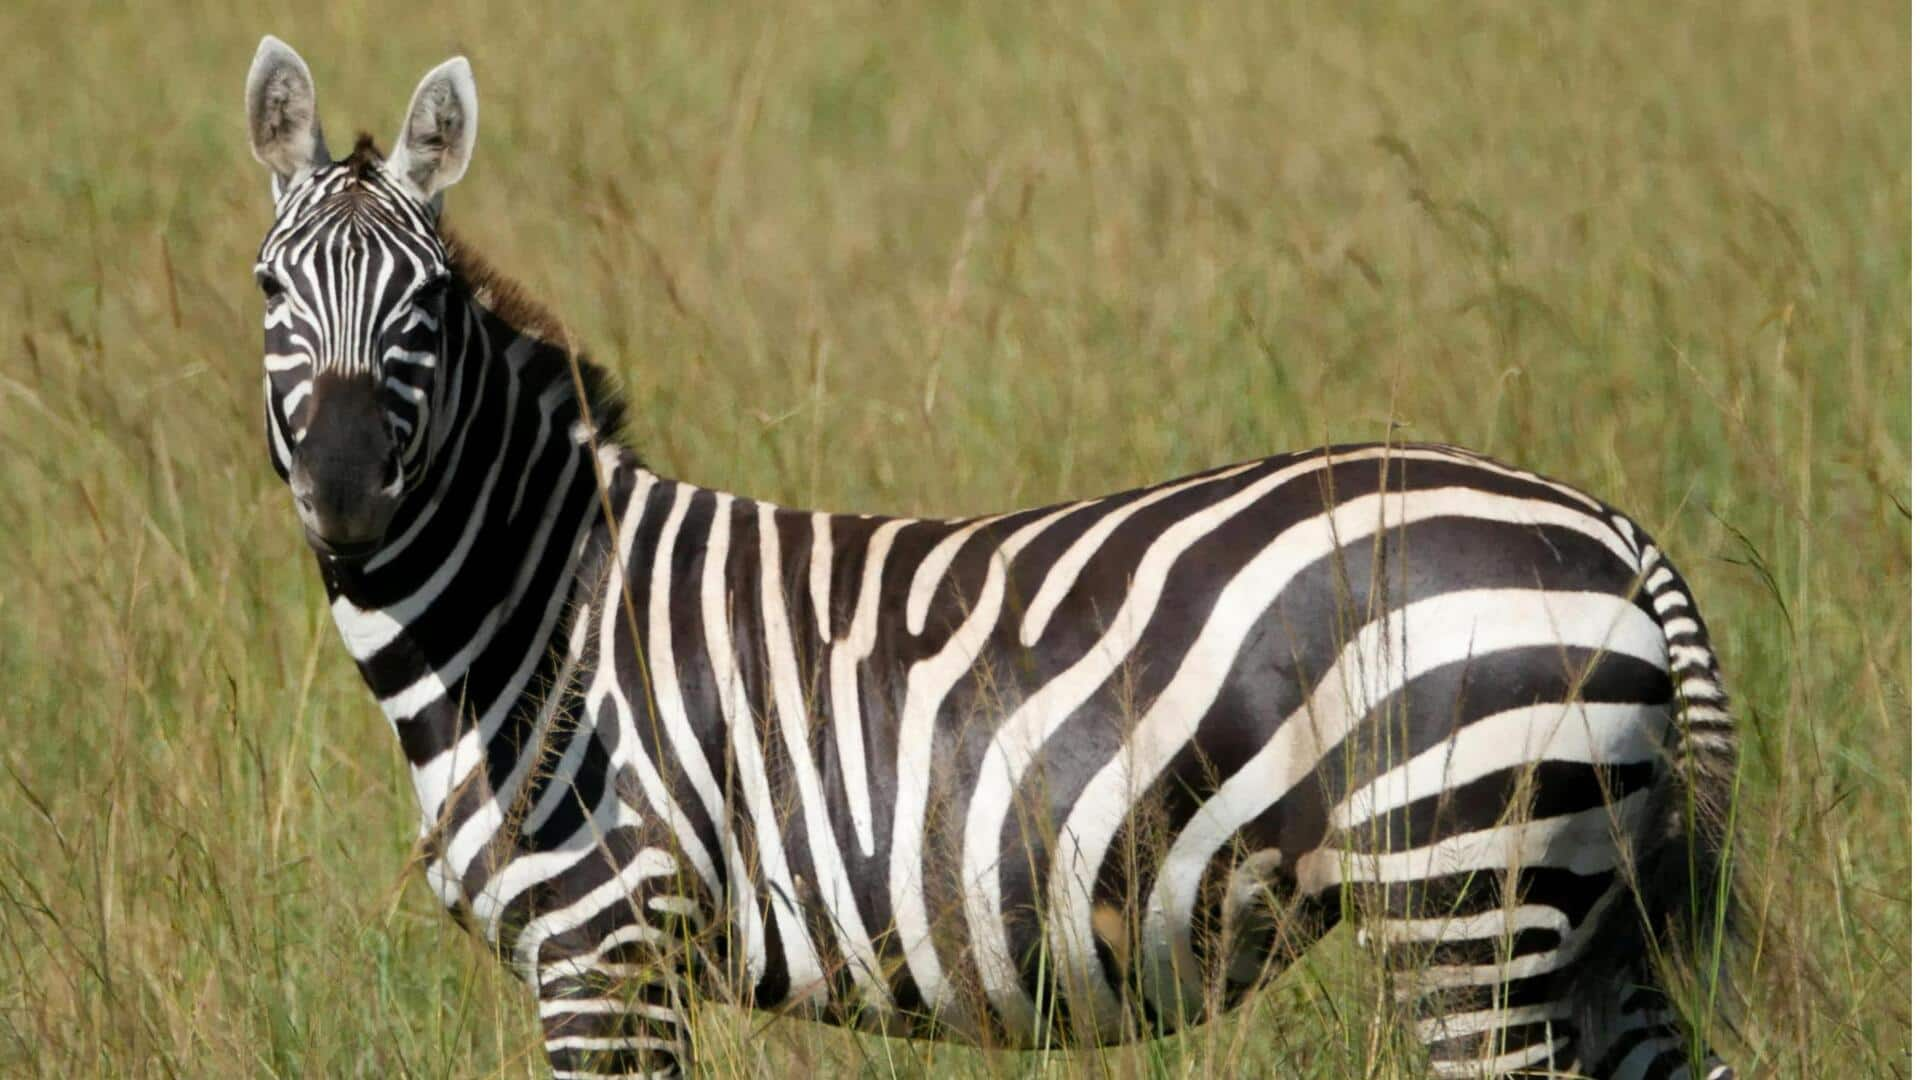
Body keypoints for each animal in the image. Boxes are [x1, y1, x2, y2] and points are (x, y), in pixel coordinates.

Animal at [240, 35, 1743, 1076]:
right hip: (1584, 921)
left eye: (429, 296)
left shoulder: (610, 949)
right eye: (268, 287)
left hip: (1464, 904)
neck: (537, 623)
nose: (345, 488)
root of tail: (1612, 526)